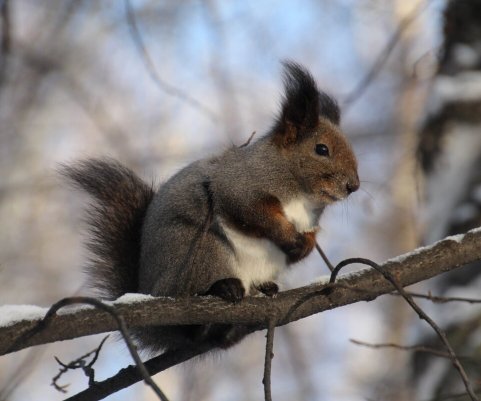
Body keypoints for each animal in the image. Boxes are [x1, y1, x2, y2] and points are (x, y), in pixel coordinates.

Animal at [62, 61, 356, 354]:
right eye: (321, 149)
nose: (353, 186)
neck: (302, 192)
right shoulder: (239, 186)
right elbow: (253, 213)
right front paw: (287, 235)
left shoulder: (310, 220)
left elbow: (307, 238)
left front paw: (305, 245)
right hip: (202, 250)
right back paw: (222, 290)